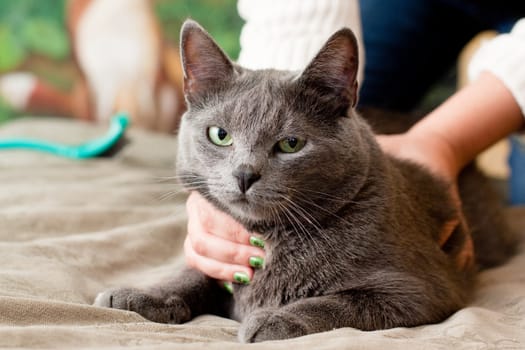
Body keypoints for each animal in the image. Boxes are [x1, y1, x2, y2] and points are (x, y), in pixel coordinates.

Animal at [94, 20, 516, 344]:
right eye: (220, 135)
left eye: (291, 144)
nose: (244, 173)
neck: (270, 237)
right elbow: (195, 274)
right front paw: (138, 295)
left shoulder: (421, 289)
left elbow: (342, 302)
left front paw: (273, 319)